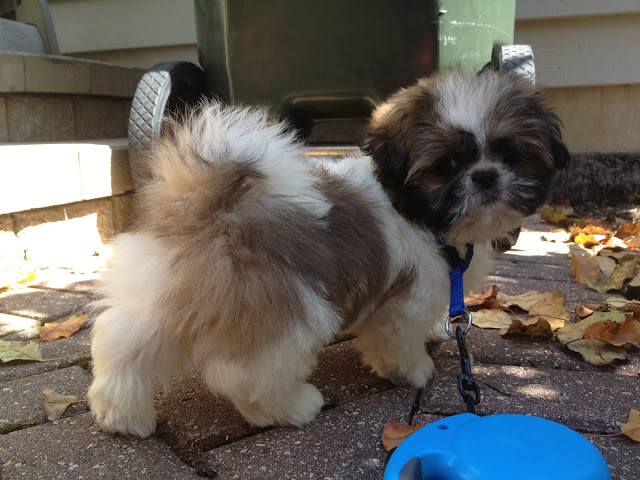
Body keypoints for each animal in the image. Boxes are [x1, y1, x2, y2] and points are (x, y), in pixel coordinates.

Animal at [87, 69, 568, 436]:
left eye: (510, 153)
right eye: (446, 165)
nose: (485, 176)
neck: (417, 212)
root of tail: (210, 209)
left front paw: (436, 334)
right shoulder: (404, 300)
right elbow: (400, 338)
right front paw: (413, 369)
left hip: (158, 296)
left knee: (122, 344)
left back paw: (122, 415)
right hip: (281, 312)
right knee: (248, 376)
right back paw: (292, 407)